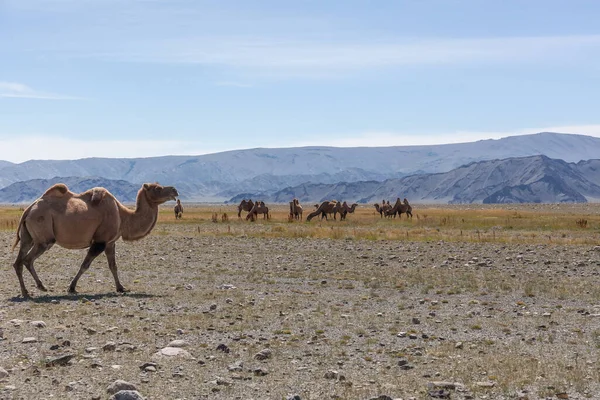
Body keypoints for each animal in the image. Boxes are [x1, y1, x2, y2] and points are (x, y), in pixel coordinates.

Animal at [10, 183, 178, 298]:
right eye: (157, 188)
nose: (174, 190)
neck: (122, 216)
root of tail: (28, 210)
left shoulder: (110, 242)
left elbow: (113, 266)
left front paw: (121, 288)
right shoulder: (100, 241)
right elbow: (85, 265)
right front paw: (72, 288)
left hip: (28, 238)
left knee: (18, 262)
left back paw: (25, 292)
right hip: (44, 237)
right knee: (27, 259)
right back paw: (40, 287)